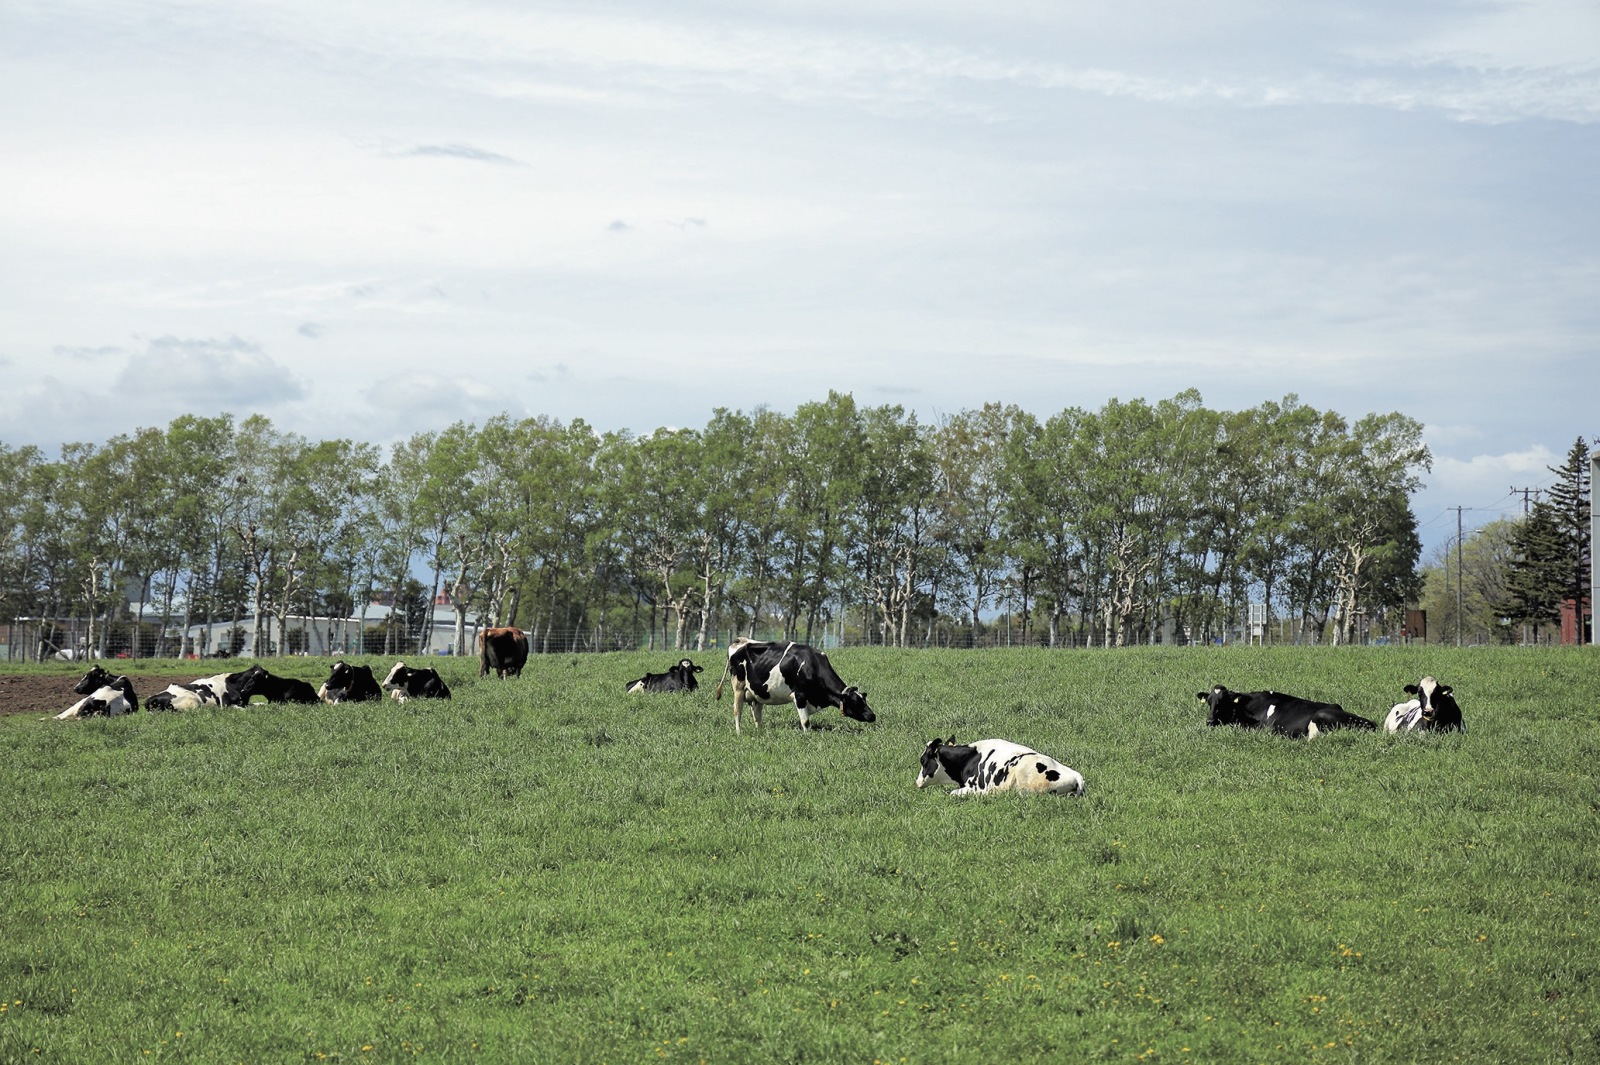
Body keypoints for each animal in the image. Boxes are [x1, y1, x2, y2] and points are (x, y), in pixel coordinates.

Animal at [713, 633, 876, 735]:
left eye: (864, 699)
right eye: (855, 702)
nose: (872, 716)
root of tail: (740, 640)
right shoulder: (800, 696)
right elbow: (805, 722)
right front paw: (807, 737)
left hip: (756, 693)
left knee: (757, 715)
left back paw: (760, 732)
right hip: (738, 687)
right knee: (737, 711)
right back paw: (739, 733)